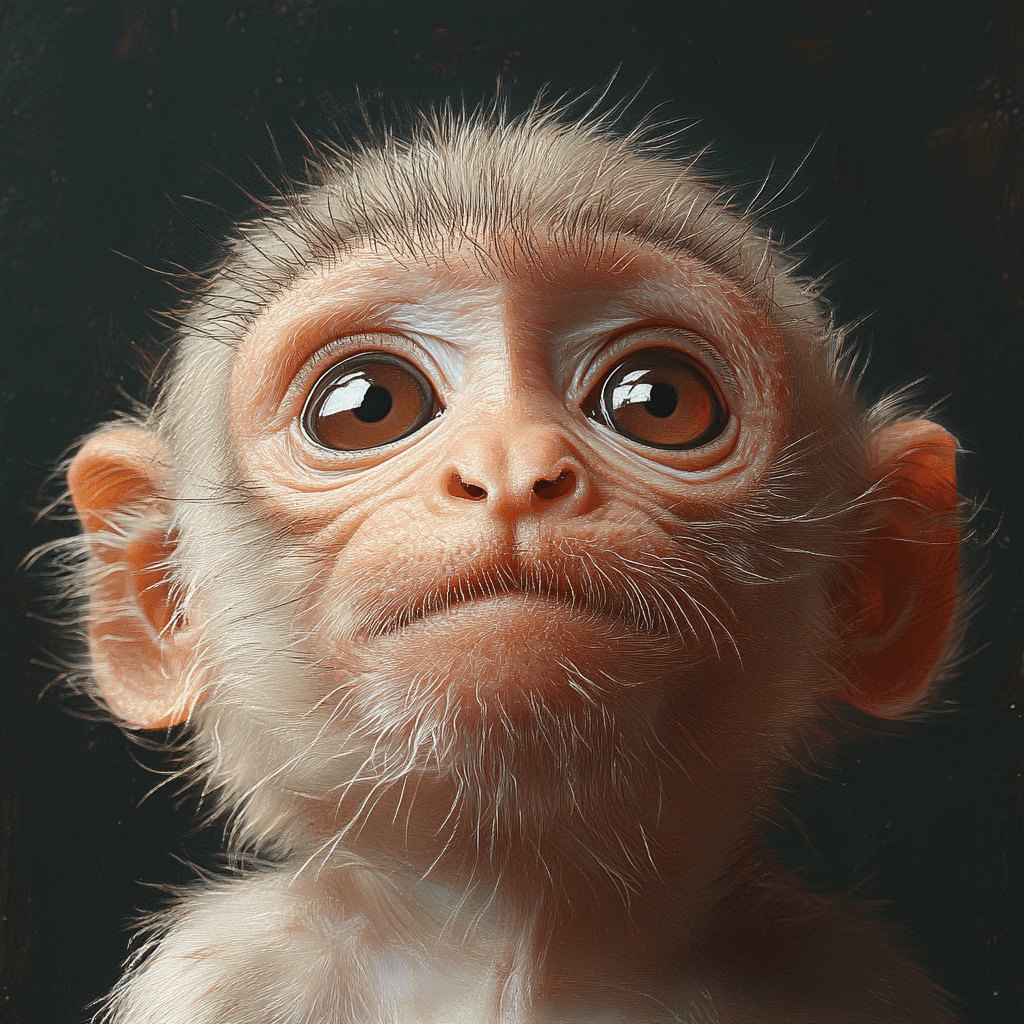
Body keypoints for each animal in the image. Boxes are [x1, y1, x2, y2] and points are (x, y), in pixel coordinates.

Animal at [53, 100, 965, 1023]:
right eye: (368, 405)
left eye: (659, 400)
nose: (513, 469)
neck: (515, 940)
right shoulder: (221, 975)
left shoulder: (849, 979)